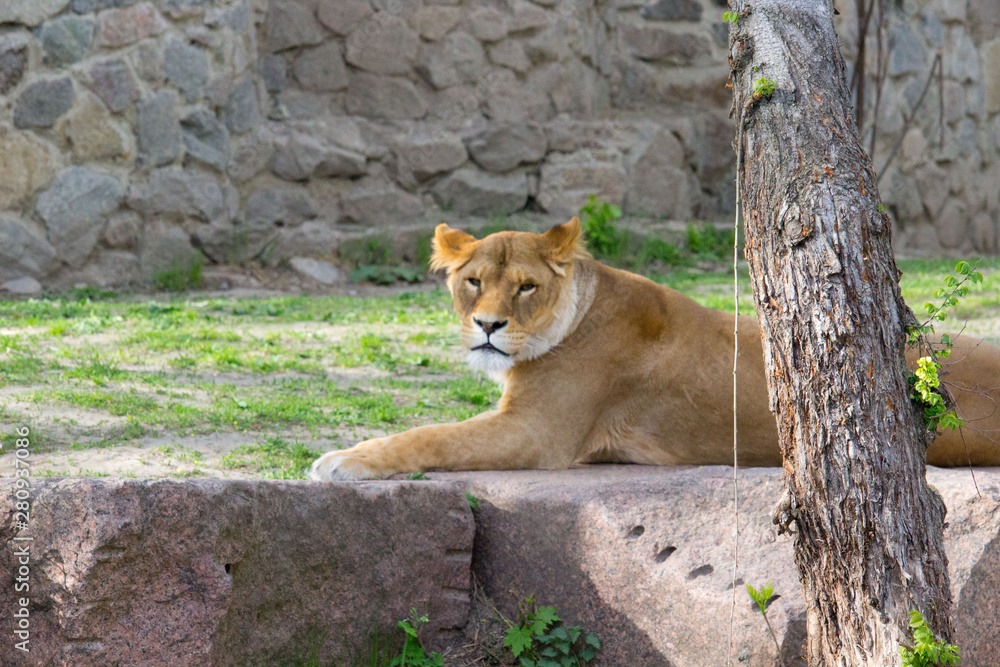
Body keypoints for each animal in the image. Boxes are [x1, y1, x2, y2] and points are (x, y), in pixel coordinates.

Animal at [309, 219, 1000, 481]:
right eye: (472, 281)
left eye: (526, 286)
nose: (487, 326)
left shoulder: (538, 434)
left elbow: (430, 437)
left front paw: (342, 460)